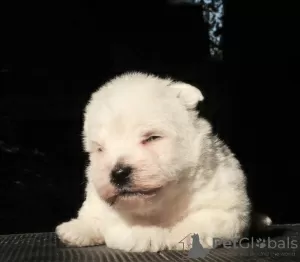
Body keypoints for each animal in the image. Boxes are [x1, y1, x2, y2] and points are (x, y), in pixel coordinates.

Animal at [56, 71, 270, 252]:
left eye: (152, 138)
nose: (118, 173)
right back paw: (75, 230)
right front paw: (147, 234)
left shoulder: (227, 203)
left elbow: (208, 217)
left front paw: (184, 235)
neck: (163, 203)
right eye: (100, 149)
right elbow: (122, 221)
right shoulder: (110, 206)